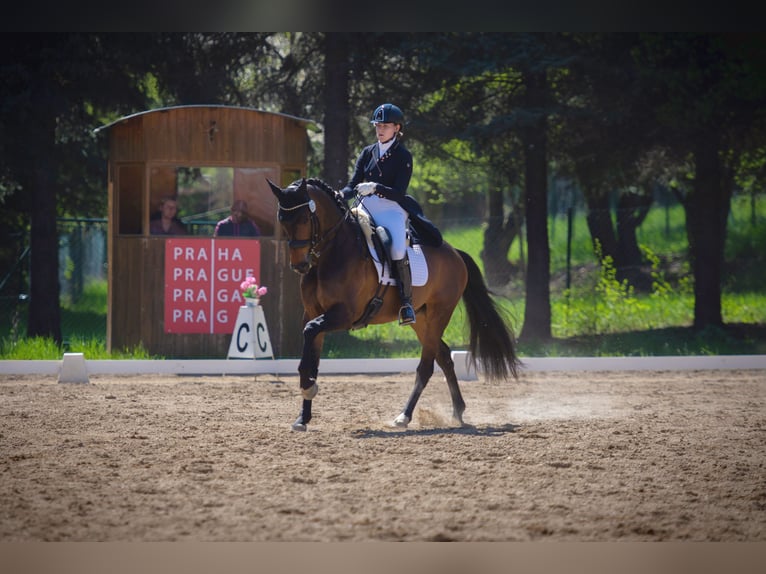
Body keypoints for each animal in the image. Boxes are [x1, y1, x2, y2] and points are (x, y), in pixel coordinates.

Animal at [267, 177, 520, 431]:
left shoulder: (343, 314)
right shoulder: (313, 312)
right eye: (281, 219)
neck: (332, 253)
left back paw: (404, 416)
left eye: (303, 219)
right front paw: (303, 416)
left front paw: (308, 387)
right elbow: (312, 357)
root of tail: (455, 253)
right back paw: (457, 411)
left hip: (440, 314)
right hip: (421, 320)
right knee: (444, 357)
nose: (299, 265)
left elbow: (310, 333)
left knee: (426, 367)